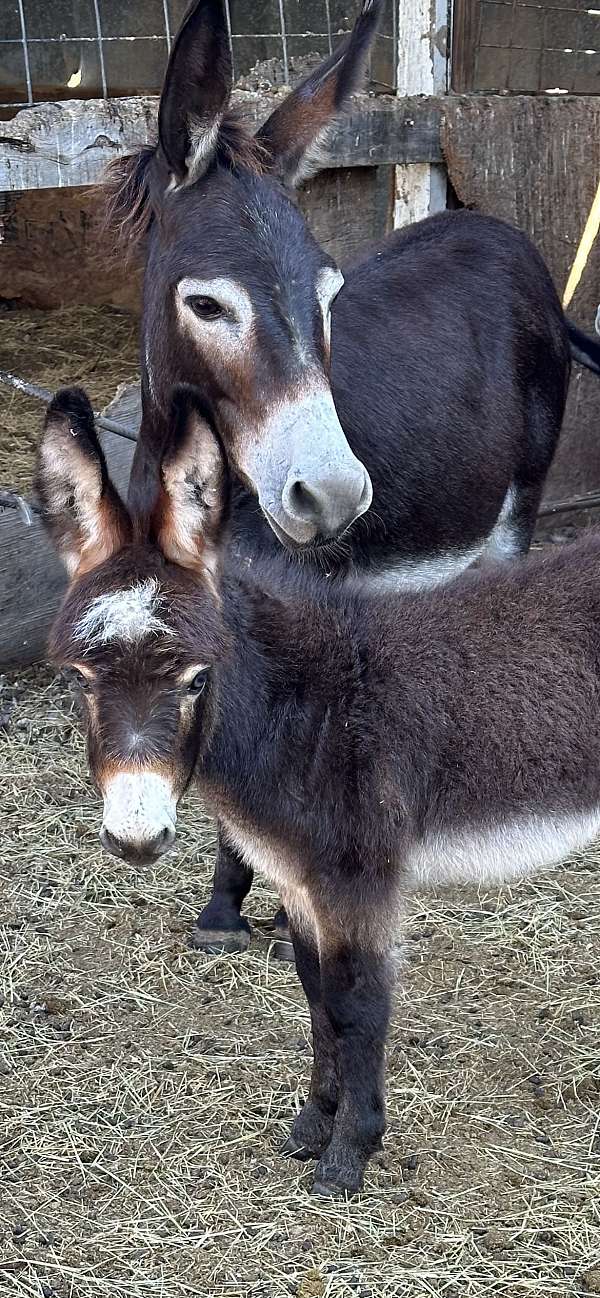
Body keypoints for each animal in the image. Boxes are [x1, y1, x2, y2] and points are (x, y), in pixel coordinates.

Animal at [36, 384, 600, 1194]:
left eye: (197, 679)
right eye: (80, 680)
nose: (136, 837)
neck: (308, 704)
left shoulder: (357, 879)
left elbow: (357, 1004)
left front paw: (348, 1158)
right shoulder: (298, 881)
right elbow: (316, 997)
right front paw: (312, 1126)